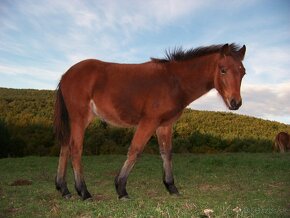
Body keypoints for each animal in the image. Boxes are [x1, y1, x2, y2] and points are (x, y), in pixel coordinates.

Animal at [53, 42, 246, 199]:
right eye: (223, 69)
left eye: (243, 72)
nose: (235, 103)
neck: (173, 81)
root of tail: (65, 75)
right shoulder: (149, 122)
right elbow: (135, 150)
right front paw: (121, 189)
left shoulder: (165, 125)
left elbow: (166, 152)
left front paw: (171, 187)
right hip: (79, 118)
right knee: (75, 149)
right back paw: (83, 192)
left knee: (65, 147)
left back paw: (64, 189)